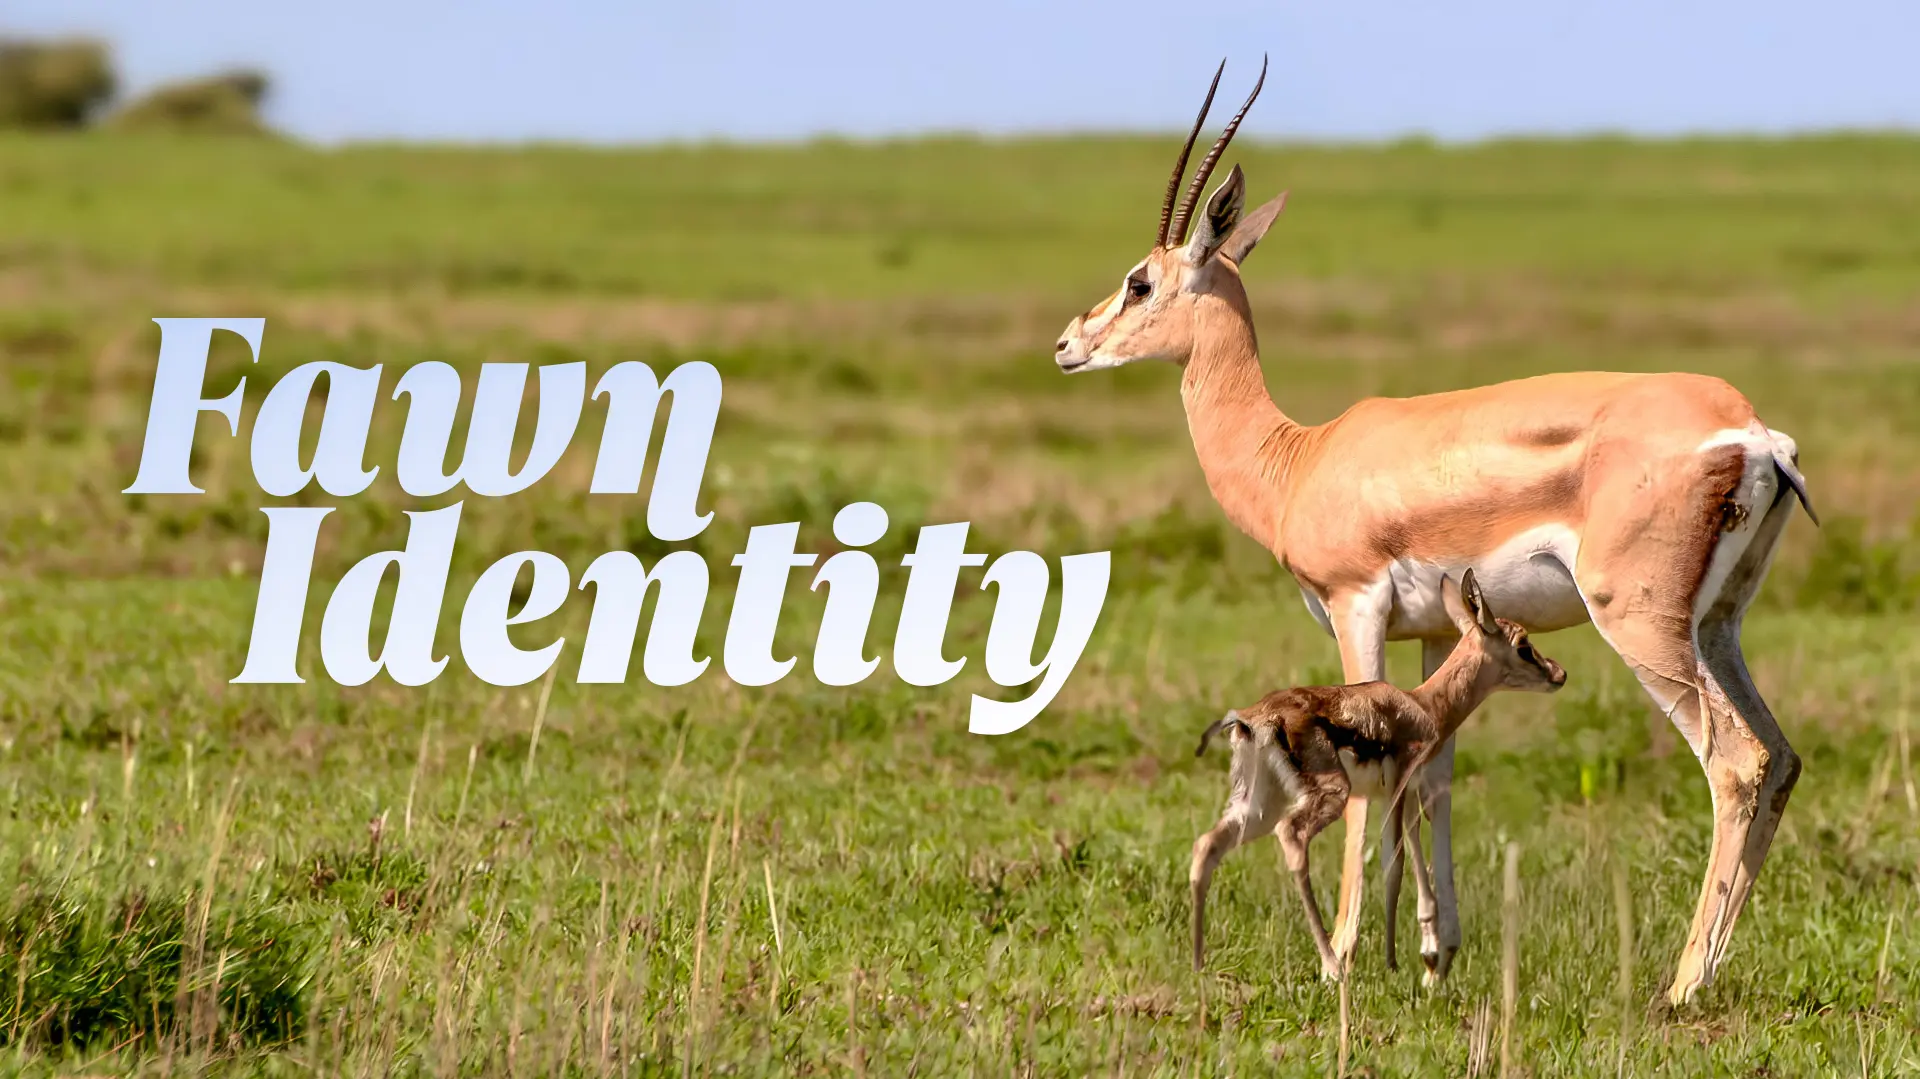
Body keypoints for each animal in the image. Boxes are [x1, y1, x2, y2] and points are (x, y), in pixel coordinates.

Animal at [1189, 569, 1565, 978]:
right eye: (1523, 644)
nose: (1559, 673)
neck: (1423, 706)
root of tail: (1251, 719)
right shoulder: (1398, 787)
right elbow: (1392, 865)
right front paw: (1393, 963)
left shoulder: (1401, 794)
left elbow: (1410, 857)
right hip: (1327, 795)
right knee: (1291, 836)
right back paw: (1333, 966)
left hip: (1259, 804)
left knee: (1207, 845)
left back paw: (1198, 963)